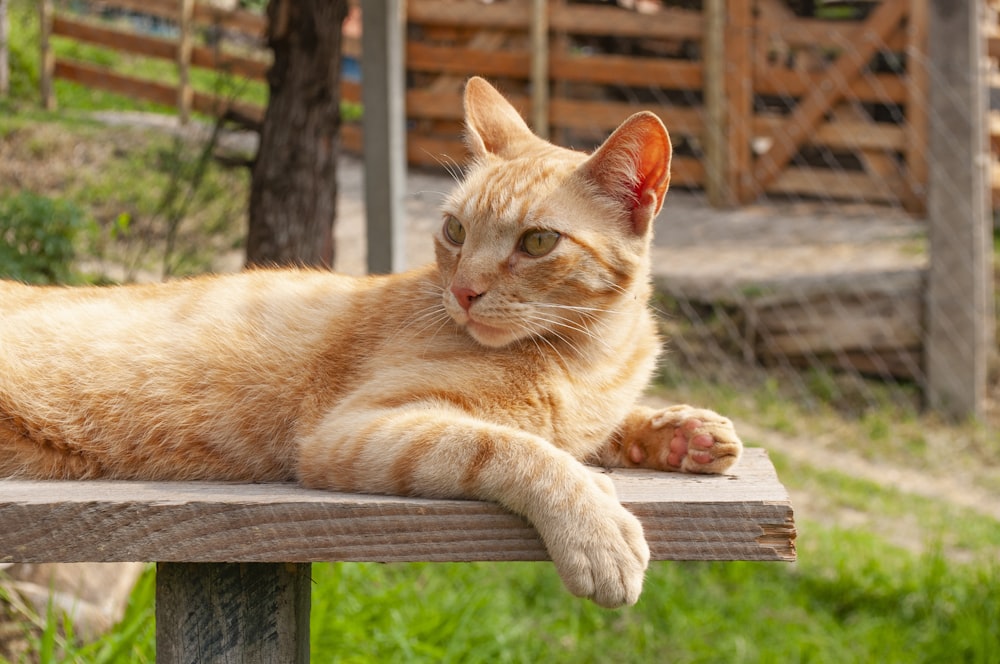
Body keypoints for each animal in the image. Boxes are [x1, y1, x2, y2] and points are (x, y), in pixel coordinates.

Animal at [1, 76, 744, 608]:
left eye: (537, 242)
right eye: (455, 231)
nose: (464, 292)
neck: (591, 358)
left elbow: (599, 430)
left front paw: (682, 433)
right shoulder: (354, 430)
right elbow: (523, 450)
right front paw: (601, 532)